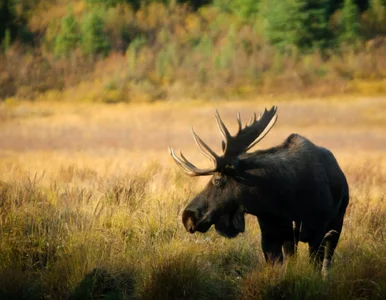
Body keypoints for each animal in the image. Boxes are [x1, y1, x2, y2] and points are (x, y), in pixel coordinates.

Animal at [169, 105, 350, 276]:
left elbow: (317, 269)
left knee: (327, 262)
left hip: (336, 225)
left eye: (217, 180)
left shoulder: (317, 231)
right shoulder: (270, 235)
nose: (187, 217)